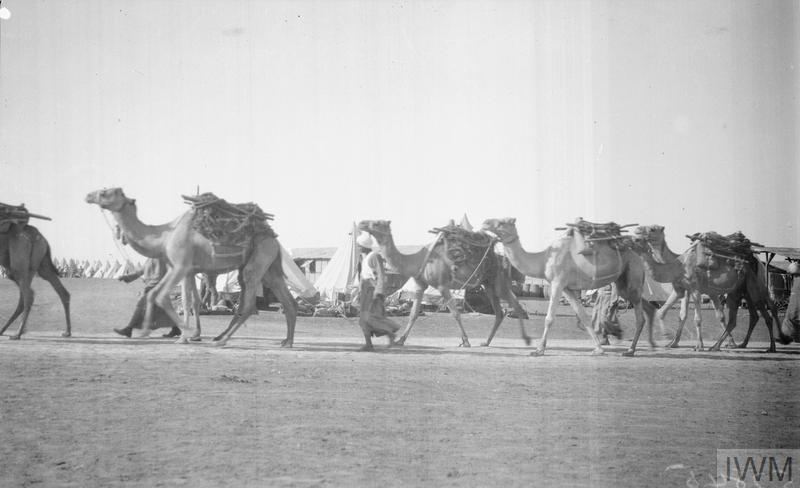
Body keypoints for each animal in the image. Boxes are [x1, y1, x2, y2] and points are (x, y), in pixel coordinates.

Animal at [85, 188, 296, 346]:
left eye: (106, 192)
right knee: (286, 299)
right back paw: (286, 341)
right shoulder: (184, 269)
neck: (164, 236)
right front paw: (181, 335)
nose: (88, 195)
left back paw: (223, 340)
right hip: (269, 265)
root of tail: (272, 237)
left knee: (250, 302)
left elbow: (162, 297)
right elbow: (185, 300)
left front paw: (186, 333)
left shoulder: (180, 266)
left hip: (260, 257)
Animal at [357, 220, 530, 348]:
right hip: (488, 284)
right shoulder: (420, 285)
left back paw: (526, 340)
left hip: (497, 279)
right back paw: (486, 342)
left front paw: (466, 341)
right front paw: (400, 340)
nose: (361, 223)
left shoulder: (442, 286)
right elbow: (413, 314)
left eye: (377, 223)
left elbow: (455, 313)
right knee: (500, 312)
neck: (417, 259)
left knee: (514, 305)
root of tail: (500, 257)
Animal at [481, 218, 656, 356]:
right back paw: (644, 345)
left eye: (502, 222)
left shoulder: (557, 282)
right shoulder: (567, 288)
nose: (485, 223)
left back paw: (631, 350)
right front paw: (598, 349)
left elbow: (549, 318)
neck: (543, 259)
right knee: (646, 306)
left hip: (633, 272)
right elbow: (584, 316)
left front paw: (539, 350)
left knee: (640, 314)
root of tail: (639, 255)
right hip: (623, 282)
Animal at [635, 226, 790, 352]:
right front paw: (672, 342)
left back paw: (772, 346)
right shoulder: (689, 290)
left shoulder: (695, 289)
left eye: (652, 229)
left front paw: (698, 345)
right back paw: (731, 345)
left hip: (756, 284)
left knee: (768, 310)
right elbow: (680, 314)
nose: (636, 232)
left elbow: (698, 318)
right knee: (750, 316)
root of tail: (758, 261)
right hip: (743, 288)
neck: (678, 263)